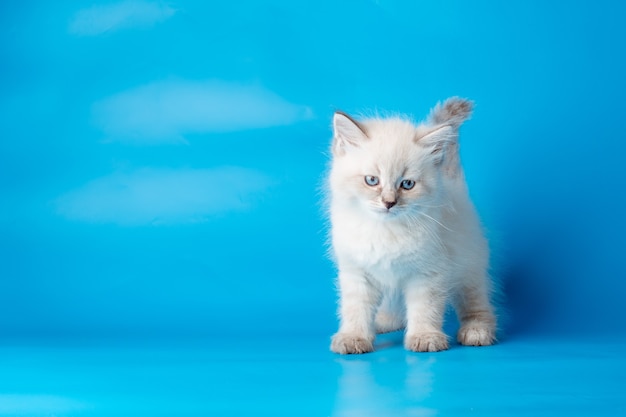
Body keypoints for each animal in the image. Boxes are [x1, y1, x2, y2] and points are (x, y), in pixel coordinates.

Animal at [330, 98, 494, 354]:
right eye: (372, 180)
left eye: (407, 184)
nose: (389, 203)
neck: (385, 230)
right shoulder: (357, 271)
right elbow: (356, 310)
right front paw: (353, 338)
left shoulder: (427, 274)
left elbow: (424, 309)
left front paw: (425, 337)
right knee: (394, 303)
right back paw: (385, 321)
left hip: (469, 267)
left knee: (475, 299)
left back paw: (477, 331)